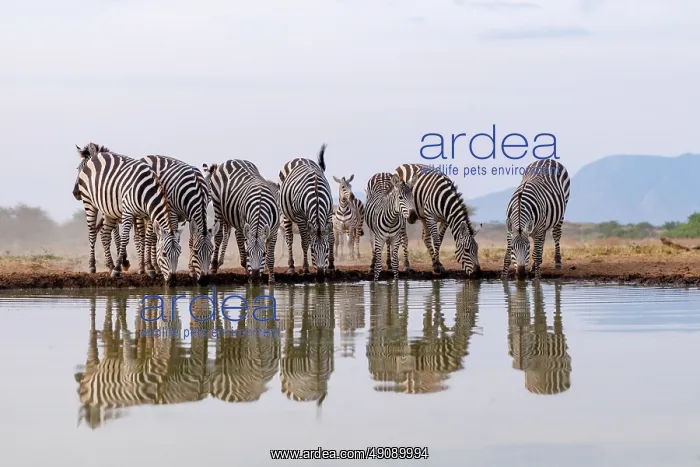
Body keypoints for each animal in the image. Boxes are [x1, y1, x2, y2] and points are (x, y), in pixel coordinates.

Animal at [72, 143, 183, 283]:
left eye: (179, 253)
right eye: (163, 254)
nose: (173, 280)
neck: (146, 190)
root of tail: (96, 156)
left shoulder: (147, 215)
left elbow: (147, 238)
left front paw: (150, 268)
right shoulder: (128, 212)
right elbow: (124, 238)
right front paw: (118, 268)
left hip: (108, 209)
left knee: (105, 234)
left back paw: (110, 264)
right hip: (89, 202)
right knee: (92, 232)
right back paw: (92, 266)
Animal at [278, 144, 335, 279]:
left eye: (326, 250)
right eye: (313, 250)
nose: (320, 275)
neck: (317, 194)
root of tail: (299, 158)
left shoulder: (329, 213)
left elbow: (331, 238)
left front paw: (331, 266)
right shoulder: (300, 217)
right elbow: (304, 242)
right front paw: (306, 268)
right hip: (286, 215)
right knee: (290, 239)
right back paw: (291, 267)